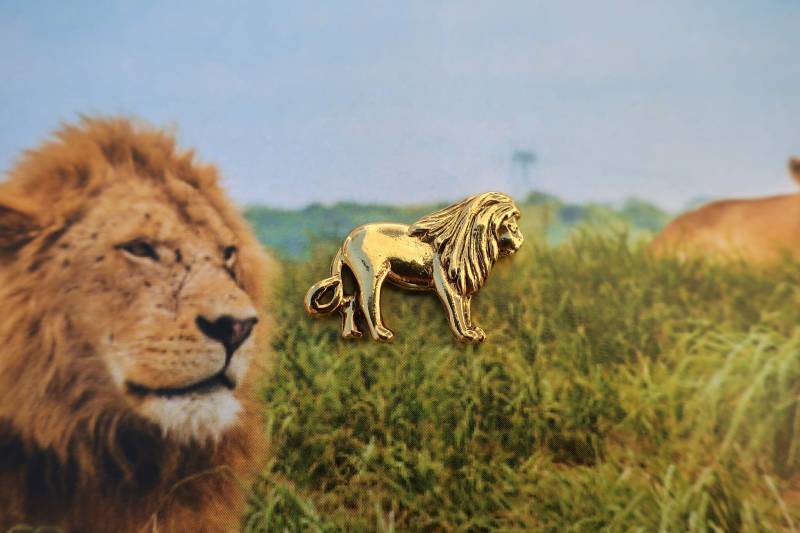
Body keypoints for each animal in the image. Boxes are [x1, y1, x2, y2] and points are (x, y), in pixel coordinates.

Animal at [304, 192, 523, 343]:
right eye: (512, 227)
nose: (520, 240)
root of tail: (346, 242)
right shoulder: (447, 284)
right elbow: (455, 311)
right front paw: (466, 335)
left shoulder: (464, 285)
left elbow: (466, 309)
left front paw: (473, 331)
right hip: (371, 273)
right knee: (367, 303)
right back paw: (381, 334)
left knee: (349, 303)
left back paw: (352, 334)